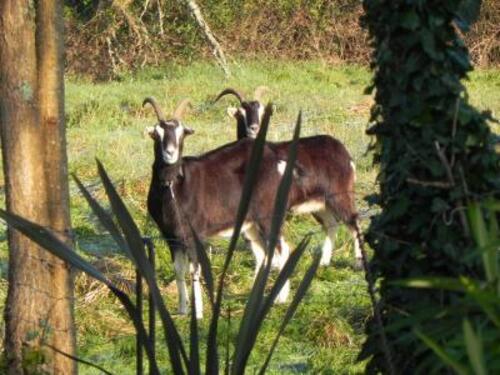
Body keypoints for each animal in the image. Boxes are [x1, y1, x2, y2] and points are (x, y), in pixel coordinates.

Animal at [142, 97, 290, 320]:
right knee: (262, 255)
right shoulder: (171, 236)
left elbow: (194, 270)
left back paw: (281, 298)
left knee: (282, 249)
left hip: (268, 216)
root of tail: (274, 159)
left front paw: (198, 313)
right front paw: (182, 309)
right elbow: (178, 270)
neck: (174, 186)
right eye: (156, 134)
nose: (170, 153)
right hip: (250, 224)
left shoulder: (194, 235)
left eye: (181, 133)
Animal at [213, 88, 362, 270]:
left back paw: (358, 263)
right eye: (241, 113)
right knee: (331, 224)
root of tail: (343, 151)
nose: (254, 128)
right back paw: (323, 262)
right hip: (320, 202)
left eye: (262, 112)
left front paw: (274, 265)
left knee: (354, 222)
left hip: (340, 194)